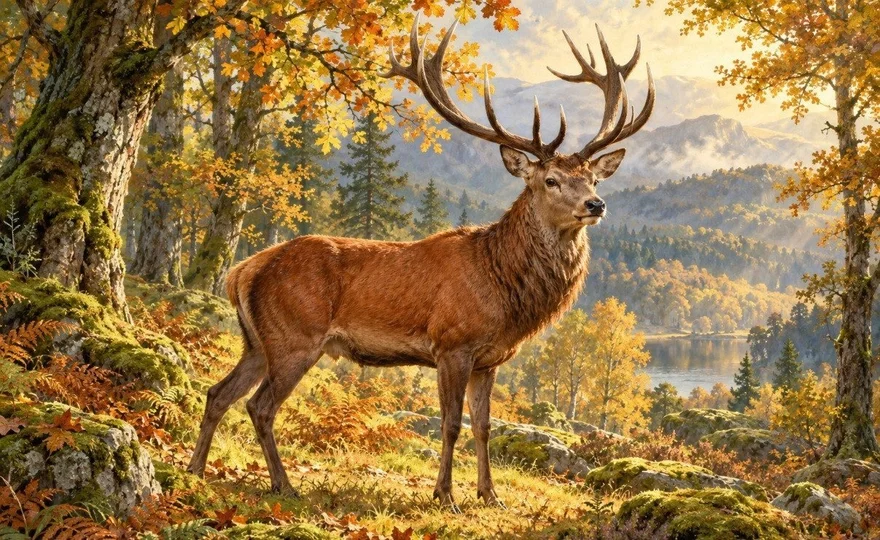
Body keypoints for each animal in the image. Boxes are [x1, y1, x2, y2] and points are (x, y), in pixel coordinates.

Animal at [187, 16, 654, 512]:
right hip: (295, 337)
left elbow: (484, 426)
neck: (505, 290)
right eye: (550, 180)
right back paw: (283, 483)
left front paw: (490, 495)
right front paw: (445, 495)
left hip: (258, 342)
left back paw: (195, 469)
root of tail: (242, 271)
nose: (596, 204)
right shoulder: (452, 344)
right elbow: (450, 424)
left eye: (591, 179)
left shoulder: (490, 359)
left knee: (218, 393)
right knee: (260, 406)